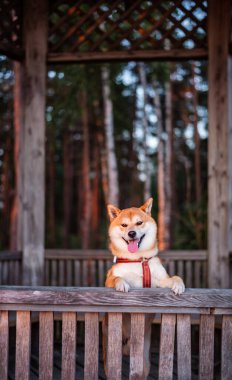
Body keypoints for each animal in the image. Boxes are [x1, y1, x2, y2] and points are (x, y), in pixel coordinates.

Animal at [103, 197, 185, 378]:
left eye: (139, 223)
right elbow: (117, 277)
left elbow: (173, 278)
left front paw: (179, 284)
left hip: (143, 355)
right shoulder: (110, 278)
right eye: (124, 225)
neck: (138, 260)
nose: (132, 233)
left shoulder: (159, 281)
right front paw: (122, 284)